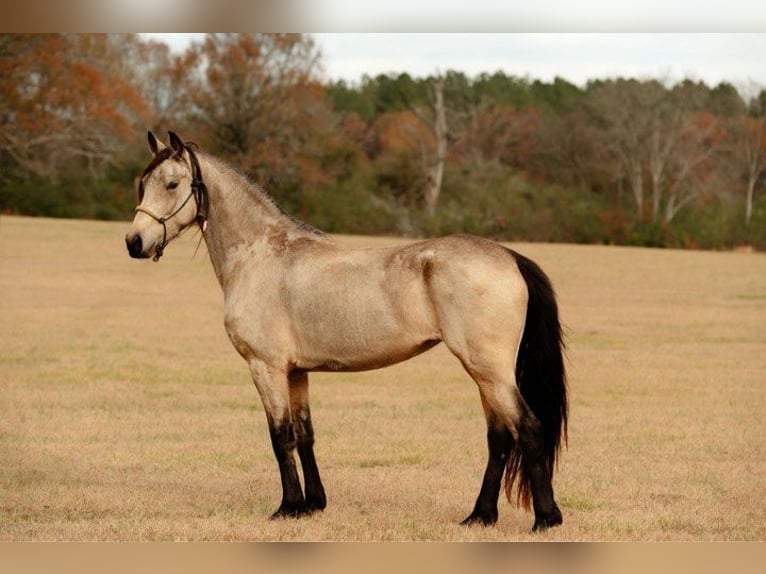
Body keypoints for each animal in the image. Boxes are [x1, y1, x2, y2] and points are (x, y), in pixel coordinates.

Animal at [124, 133, 568, 532]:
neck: (261, 255)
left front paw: (287, 507)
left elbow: (280, 436)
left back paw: (545, 519)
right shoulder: (297, 372)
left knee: (528, 430)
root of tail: (509, 255)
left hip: (489, 371)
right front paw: (312, 505)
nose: (134, 242)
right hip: (485, 375)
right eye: (143, 183)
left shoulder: (266, 368)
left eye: (172, 184)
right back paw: (480, 516)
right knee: (499, 437)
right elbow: (304, 435)